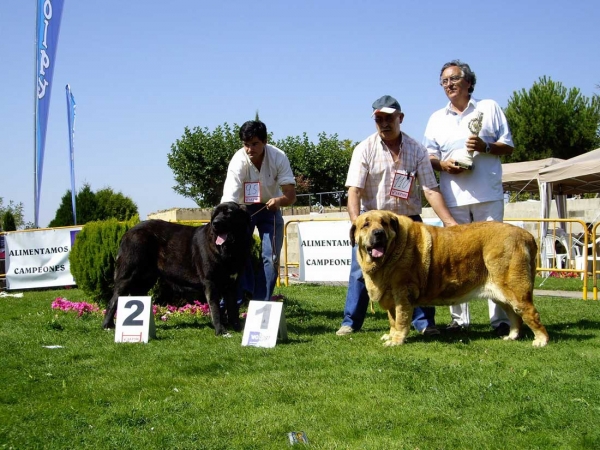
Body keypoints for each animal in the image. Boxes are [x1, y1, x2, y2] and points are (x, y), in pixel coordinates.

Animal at [102, 203, 252, 334]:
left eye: (229, 213)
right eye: (215, 214)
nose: (215, 223)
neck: (230, 249)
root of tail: (128, 232)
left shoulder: (231, 283)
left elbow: (233, 308)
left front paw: (238, 328)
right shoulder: (210, 282)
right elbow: (215, 308)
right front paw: (220, 330)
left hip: (146, 279)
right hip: (128, 275)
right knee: (113, 300)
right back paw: (108, 326)